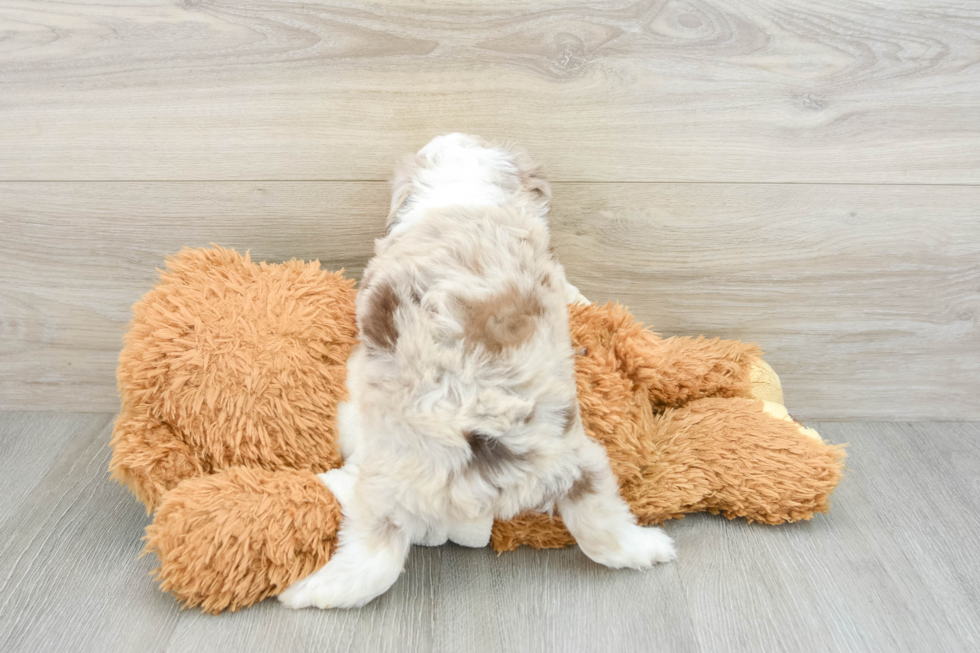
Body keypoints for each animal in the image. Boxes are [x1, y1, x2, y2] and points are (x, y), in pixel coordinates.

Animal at [280, 135, 668, 608]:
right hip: (582, 464)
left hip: (383, 475)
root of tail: (474, 468)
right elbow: (568, 285)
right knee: (603, 531)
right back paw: (651, 547)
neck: (463, 189)